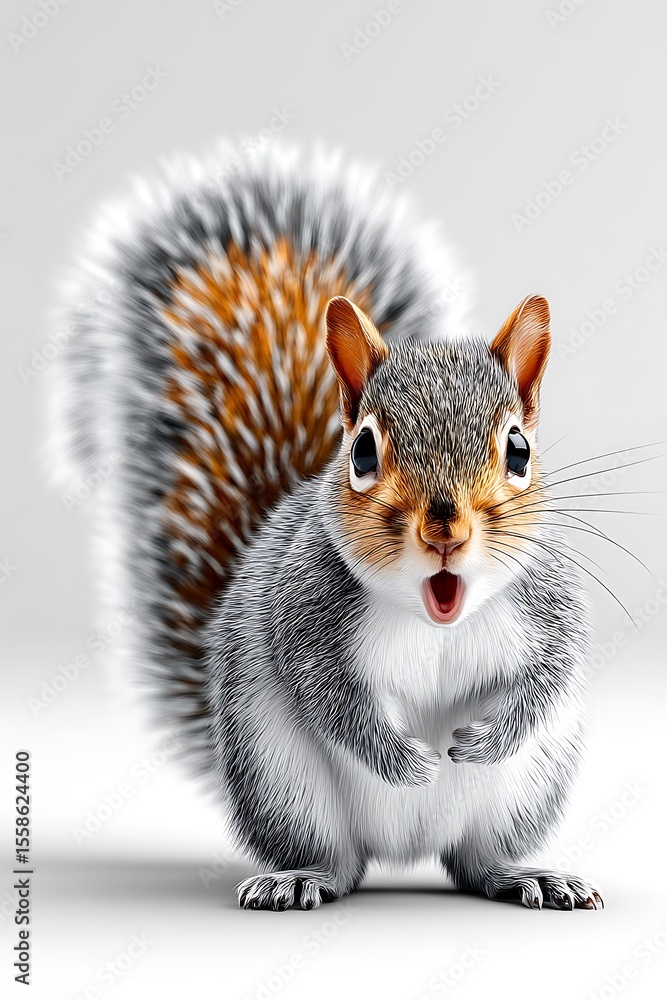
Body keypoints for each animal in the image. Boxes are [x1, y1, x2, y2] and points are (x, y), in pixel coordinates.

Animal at [55, 144, 603, 912]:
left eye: (518, 450)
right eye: (363, 452)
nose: (444, 528)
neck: (434, 615)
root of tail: (404, 853)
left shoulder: (547, 604)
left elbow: (548, 676)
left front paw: (485, 739)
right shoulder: (301, 608)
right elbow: (327, 697)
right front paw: (405, 761)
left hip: (524, 791)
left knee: (476, 860)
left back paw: (526, 874)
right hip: (281, 778)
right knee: (336, 861)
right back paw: (299, 877)